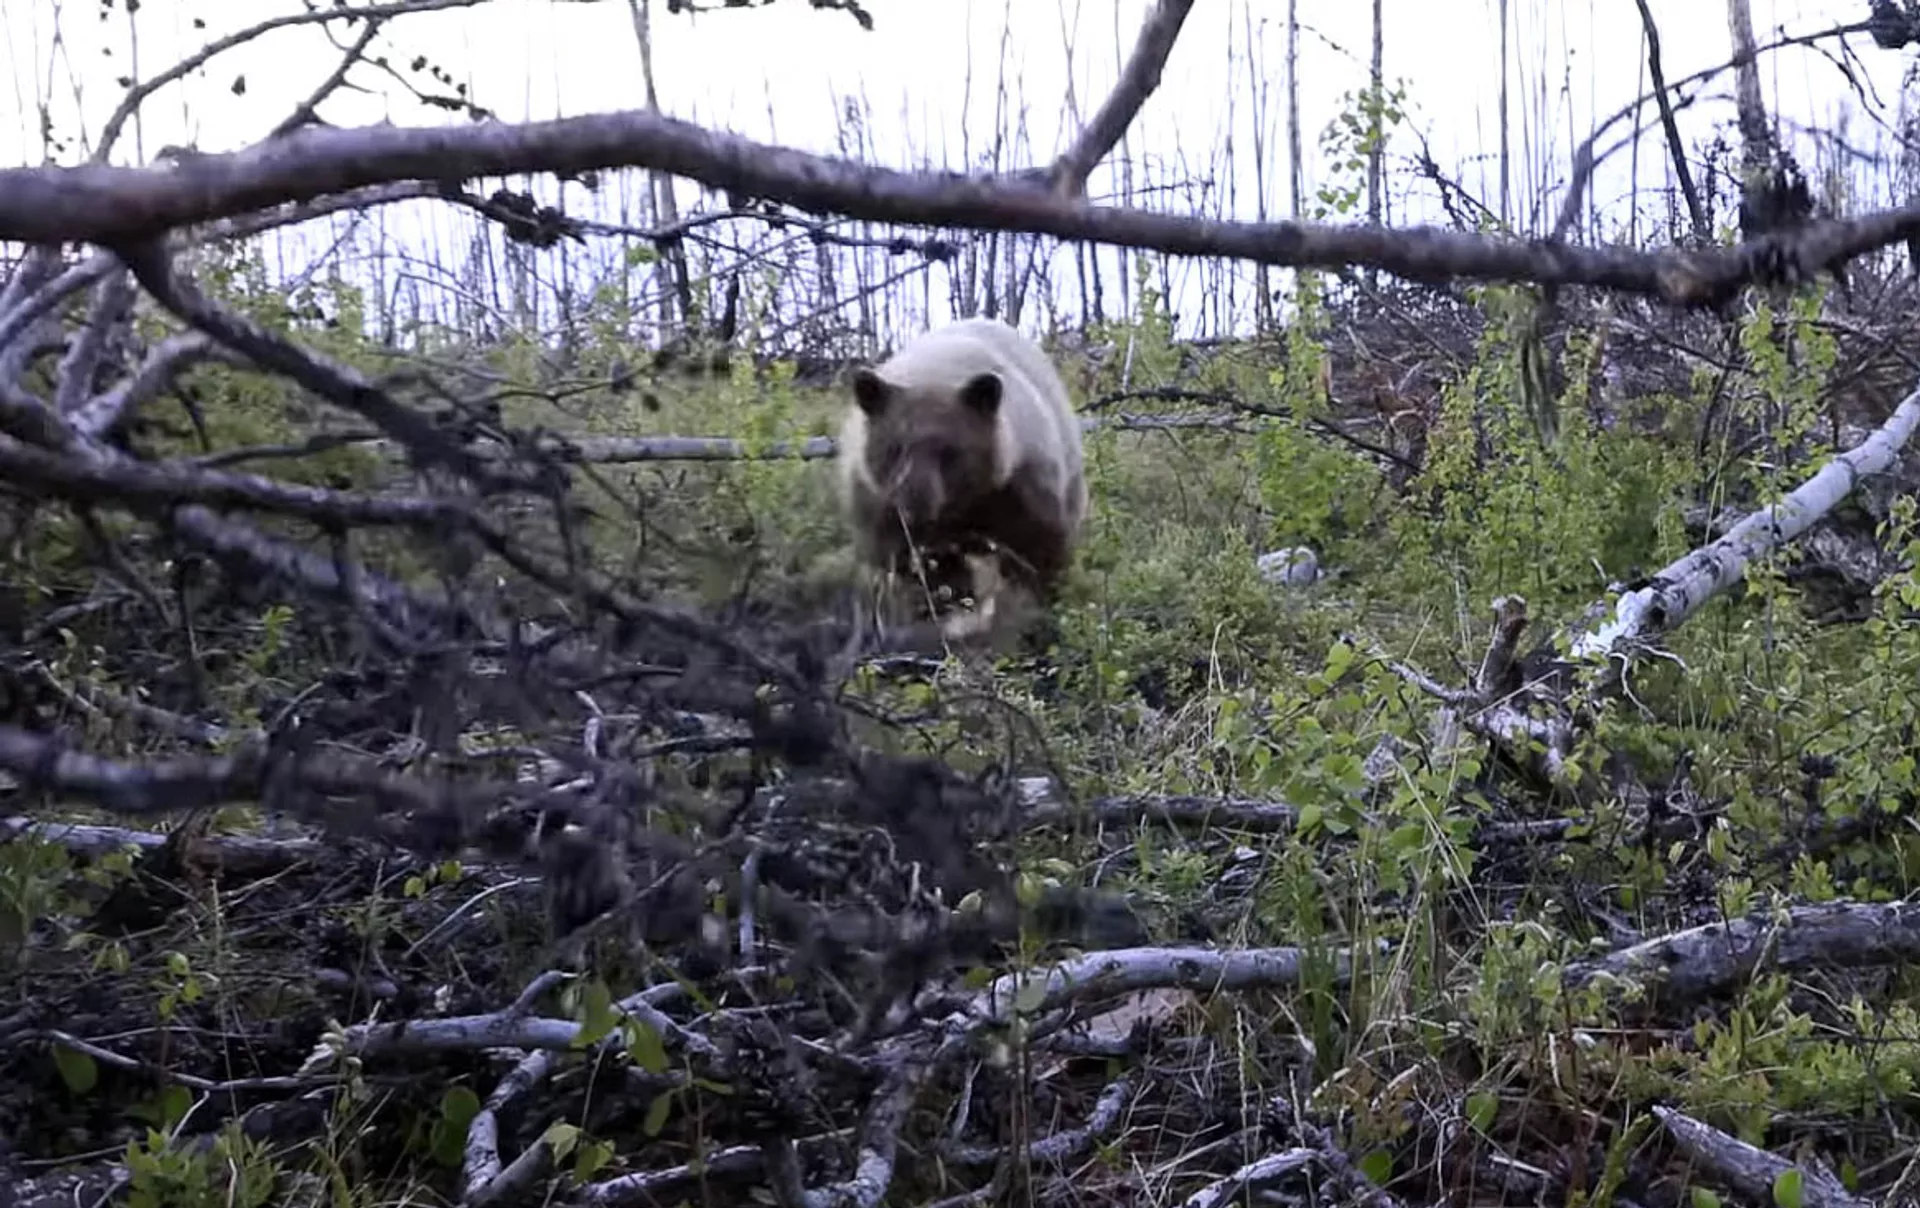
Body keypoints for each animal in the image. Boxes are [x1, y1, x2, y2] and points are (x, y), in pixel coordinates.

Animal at [835, 316, 1088, 642]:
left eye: (950, 451)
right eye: (895, 448)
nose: (915, 507)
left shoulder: (1020, 484)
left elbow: (1041, 548)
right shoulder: (876, 502)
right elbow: (906, 562)